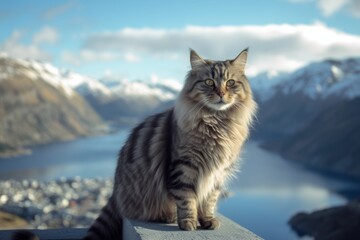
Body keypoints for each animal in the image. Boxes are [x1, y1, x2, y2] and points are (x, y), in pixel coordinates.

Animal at [10, 48, 256, 240]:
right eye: (209, 82)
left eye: (230, 83)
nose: (221, 94)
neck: (218, 122)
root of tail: (115, 191)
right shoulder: (184, 166)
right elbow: (187, 199)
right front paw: (189, 222)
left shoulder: (218, 172)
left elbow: (209, 200)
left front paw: (207, 220)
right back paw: (168, 216)